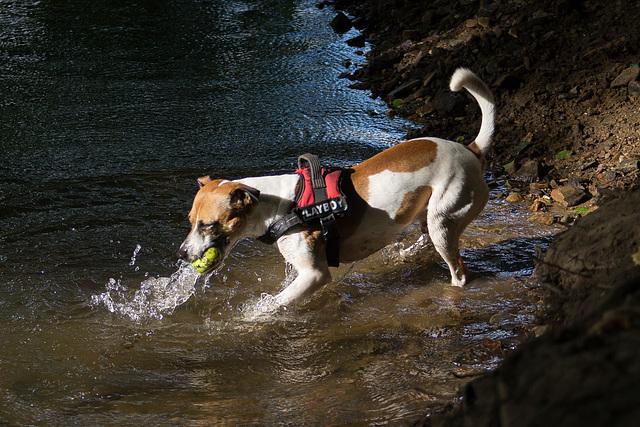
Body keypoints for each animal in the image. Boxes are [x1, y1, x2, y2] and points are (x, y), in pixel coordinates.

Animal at [178, 67, 498, 308]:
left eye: (208, 225)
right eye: (191, 222)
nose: (181, 254)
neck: (282, 205)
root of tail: (471, 151)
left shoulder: (315, 275)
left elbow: (273, 305)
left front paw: (248, 320)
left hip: (444, 219)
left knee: (458, 272)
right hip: (429, 218)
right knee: (425, 238)